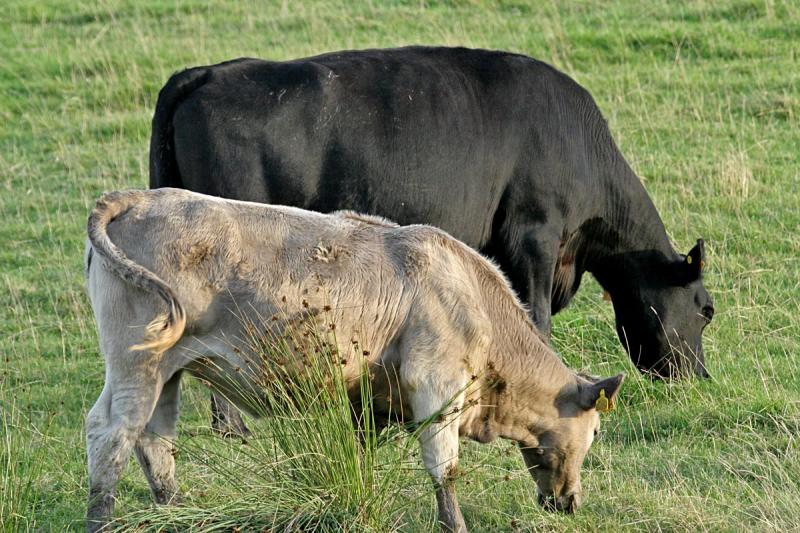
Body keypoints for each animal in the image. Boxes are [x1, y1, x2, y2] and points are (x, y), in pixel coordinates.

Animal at [153, 45, 716, 432]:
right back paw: (232, 427)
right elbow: (535, 317)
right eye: (706, 309)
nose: (700, 379)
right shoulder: (534, 237)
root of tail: (208, 72)